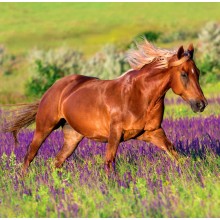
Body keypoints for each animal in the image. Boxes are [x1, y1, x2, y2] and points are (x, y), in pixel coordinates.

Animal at [2, 40, 207, 174]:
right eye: (183, 74)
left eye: (197, 72)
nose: (201, 104)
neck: (140, 95)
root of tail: (53, 88)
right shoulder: (114, 133)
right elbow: (109, 162)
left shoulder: (153, 132)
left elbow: (176, 154)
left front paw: (190, 175)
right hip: (44, 127)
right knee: (30, 155)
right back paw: (24, 181)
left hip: (72, 136)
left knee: (57, 162)